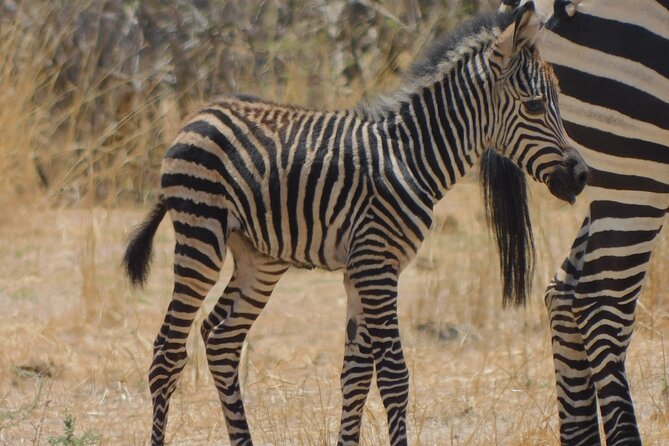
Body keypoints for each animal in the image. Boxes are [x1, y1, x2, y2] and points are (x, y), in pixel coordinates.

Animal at [123, 3, 588, 445]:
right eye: (534, 105)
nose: (581, 175)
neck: (412, 158)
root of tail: (199, 113)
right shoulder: (376, 266)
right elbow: (394, 376)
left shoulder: (363, 270)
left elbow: (356, 375)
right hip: (201, 234)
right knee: (167, 351)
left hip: (259, 258)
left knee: (221, 338)